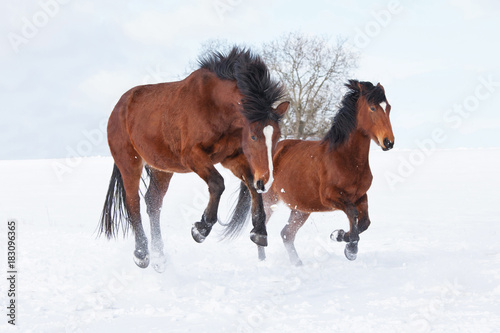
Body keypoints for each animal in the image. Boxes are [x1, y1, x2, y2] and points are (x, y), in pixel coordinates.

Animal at [98, 46, 290, 270]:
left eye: (277, 135)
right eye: (253, 136)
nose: (266, 181)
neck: (215, 106)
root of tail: (120, 106)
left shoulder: (232, 158)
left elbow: (250, 185)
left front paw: (259, 232)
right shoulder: (192, 156)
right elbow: (218, 183)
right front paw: (201, 228)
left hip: (161, 168)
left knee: (153, 202)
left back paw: (159, 257)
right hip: (130, 163)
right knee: (133, 202)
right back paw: (142, 254)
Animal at [224, 80, 394, 264]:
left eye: (388, 107)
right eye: (372, 108)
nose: (388, 142)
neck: (345, 159)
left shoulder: (360, 196)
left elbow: (364, 222)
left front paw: (338, 235)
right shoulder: (330, 198)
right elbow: (353, 213)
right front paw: (350, 249)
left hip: (301, 209)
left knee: (286, 234)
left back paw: (297, 264)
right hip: (270, 200)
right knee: (261, 230)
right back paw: (263, 261)